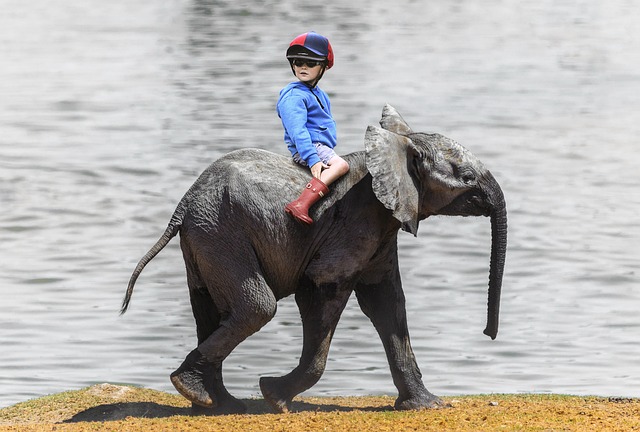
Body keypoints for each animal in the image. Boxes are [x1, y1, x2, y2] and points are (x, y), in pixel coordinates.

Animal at [120, 104, 508, 416]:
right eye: (467, 178)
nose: (488, 334)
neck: (395, 148)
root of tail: (184, 204)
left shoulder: (382, 230)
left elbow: (386, 303)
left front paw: (427, 406)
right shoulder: (354, 223)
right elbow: (321, 290)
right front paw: (274, 396)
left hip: (206, 235)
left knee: (209, 309)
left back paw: (214, 403)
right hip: (221, 231)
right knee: (257, 307)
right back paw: (199, 392)